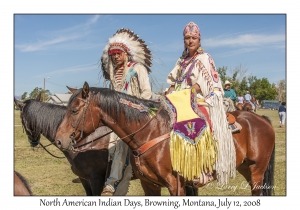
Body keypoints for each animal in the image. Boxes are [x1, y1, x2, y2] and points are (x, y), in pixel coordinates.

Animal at [55, 81, 276, 195]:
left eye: (74, 110)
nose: (59, 140)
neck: (150, 133)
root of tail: (261, 119)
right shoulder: (150, 185)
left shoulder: (175, 185)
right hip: (246, 168)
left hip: (257, 171)